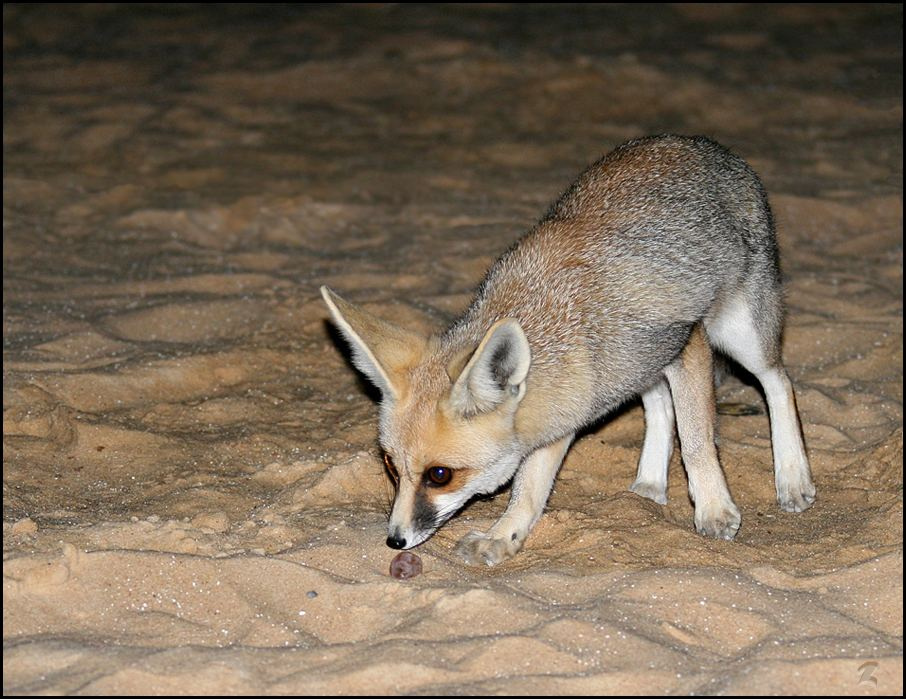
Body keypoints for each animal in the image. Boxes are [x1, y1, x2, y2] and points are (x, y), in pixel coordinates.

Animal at [321, 134, 816, 566]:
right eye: (390, 465)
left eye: (439, 475)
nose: (395, 539)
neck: (558, 320)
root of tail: (694, 141)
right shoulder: (564, 406)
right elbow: (529, 489)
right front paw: (505, 536)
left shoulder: (686, 341)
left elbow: (697, 441)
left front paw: (714, 508)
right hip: (640, 368)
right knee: (660, 406)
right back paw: (649, 484)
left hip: (738, 334)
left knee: (779, 383)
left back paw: (793, 477)